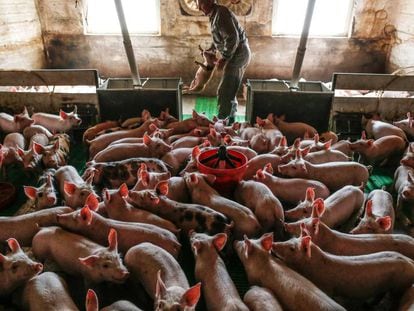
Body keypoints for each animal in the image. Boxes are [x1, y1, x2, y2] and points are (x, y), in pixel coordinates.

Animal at [272, 236, 414, 302]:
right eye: (290, 238)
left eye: (292, 248)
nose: (273, 243)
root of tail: (411, 263)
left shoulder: (327, 287)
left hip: (399, 286)